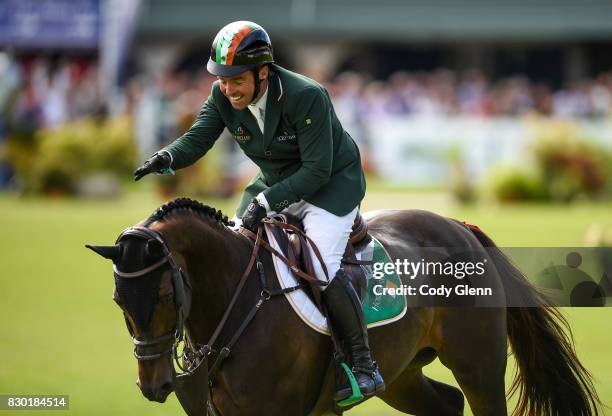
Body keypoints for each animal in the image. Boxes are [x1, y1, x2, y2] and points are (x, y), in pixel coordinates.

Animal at [88, 198, 600, 416]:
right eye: (118, 300)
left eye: (164, 296)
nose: (153, 384)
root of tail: (459, 225)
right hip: (402, 375)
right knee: (446, 405)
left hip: (478, 366)